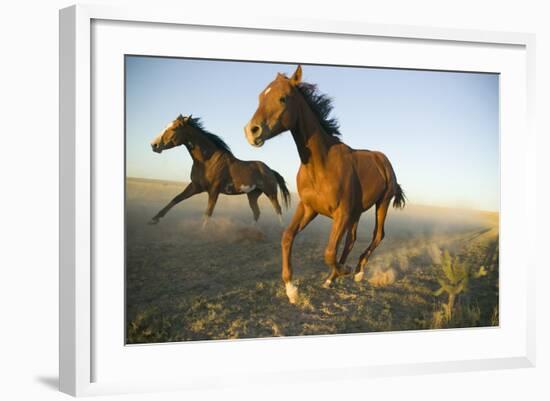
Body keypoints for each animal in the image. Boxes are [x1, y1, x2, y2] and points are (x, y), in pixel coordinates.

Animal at [149, 114, 292, 227]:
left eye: (174, 128)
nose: (153, 145)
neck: (207, 161)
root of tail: (270, 170)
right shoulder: (195, 186)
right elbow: (176, 199)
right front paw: (154, 219)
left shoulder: (214, 190)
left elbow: (208, 213)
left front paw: (202, 232)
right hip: (252, 195)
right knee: (257, 213)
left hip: (270, 192)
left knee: (278, 209)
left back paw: (281, 229)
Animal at [245, 66, 406, 304]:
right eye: (259, 97)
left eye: (283, 98)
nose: (251, 131)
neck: (322, 166)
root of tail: (383, 160)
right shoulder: (309, 208)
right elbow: (288, 237)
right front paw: (291, 289)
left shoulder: (341, 214)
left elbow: (330, 251)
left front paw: (344, 270)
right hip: (356, 212)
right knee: (351, 240)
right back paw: (332, 278)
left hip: (382, 204)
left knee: (377, 235)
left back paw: (357, 271)